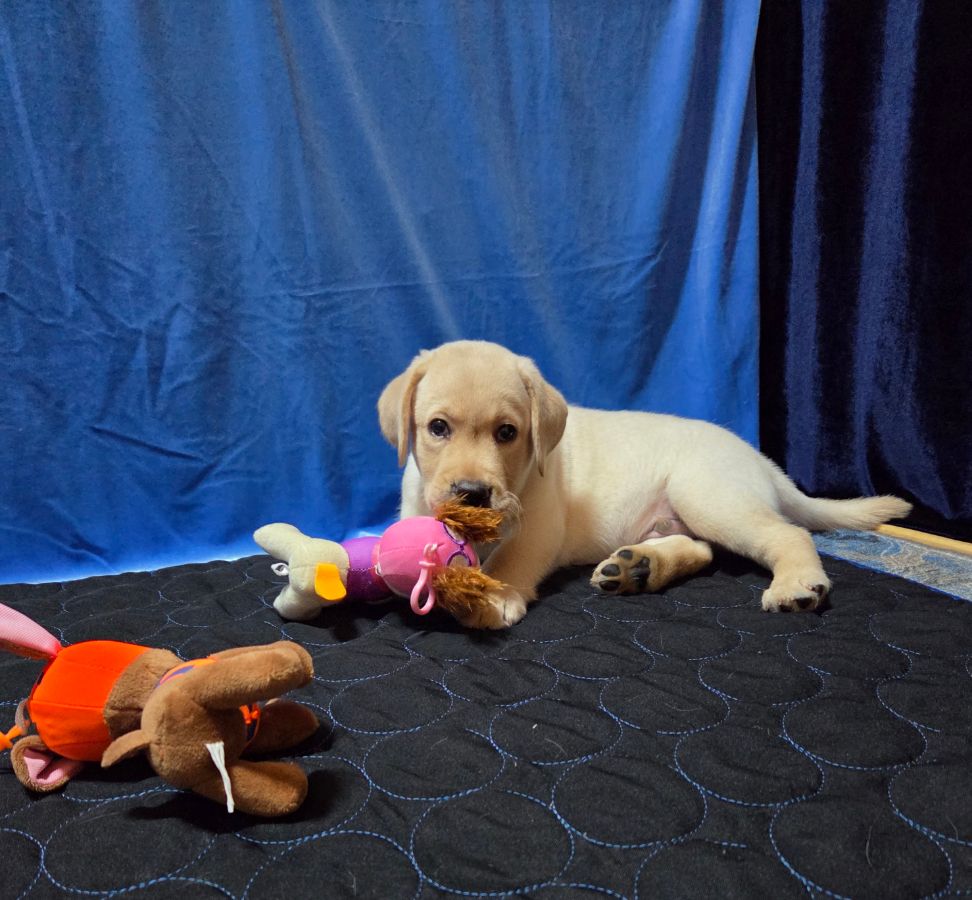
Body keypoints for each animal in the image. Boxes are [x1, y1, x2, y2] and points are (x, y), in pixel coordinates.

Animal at [378, 340, 911, 629]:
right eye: (438, 428)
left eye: (507, 433)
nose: (471, 493)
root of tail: (761, 460)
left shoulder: (540, 522)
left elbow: (512, 557)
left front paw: (491, 594)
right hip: (678, 515)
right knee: (703, 550)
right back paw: (639, 568)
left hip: (708, 494)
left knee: (787, 533)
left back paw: (796, 584)